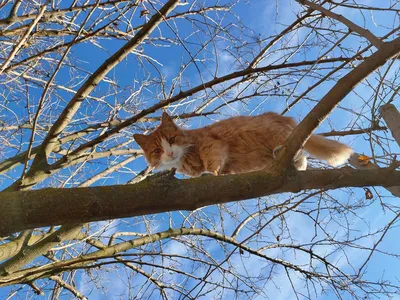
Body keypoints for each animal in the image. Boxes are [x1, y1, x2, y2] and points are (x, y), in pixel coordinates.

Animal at [135, 112, 354, 178]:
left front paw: (209, 173)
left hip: (279, 136)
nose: (169, 153)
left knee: (299, 150)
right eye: (157, 150)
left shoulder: (212, 146)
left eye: (171, 140)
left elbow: (213, 164)